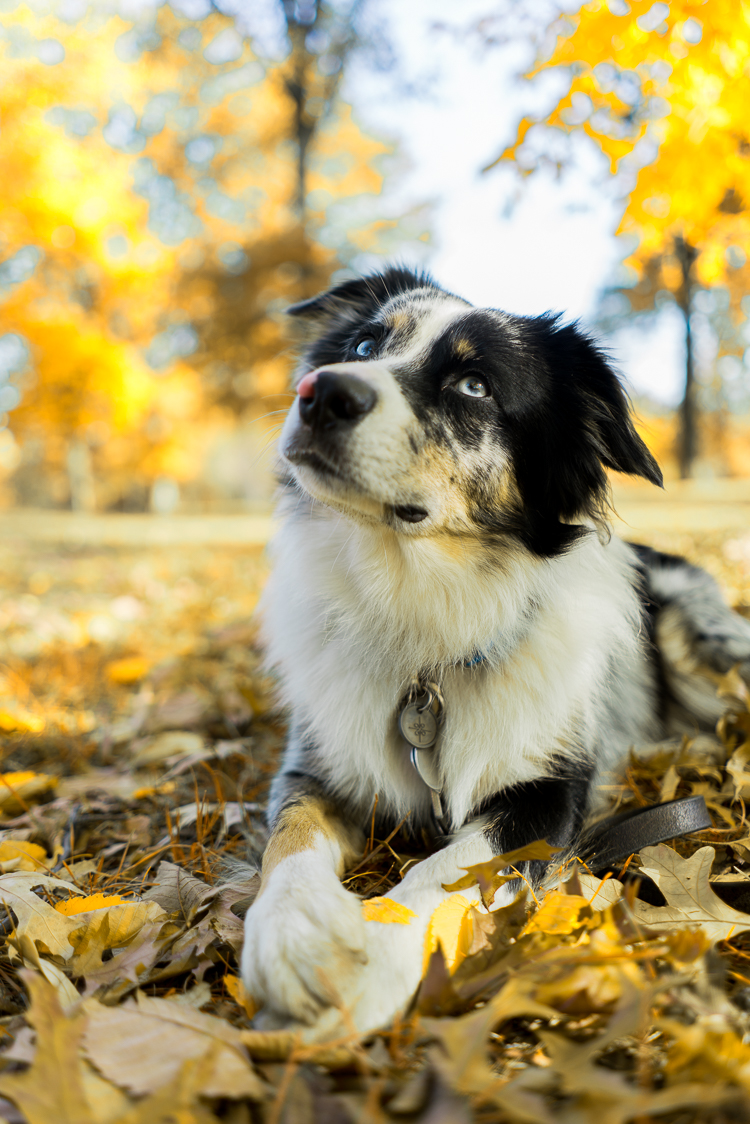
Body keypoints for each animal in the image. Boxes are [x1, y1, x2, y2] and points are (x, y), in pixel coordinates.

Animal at [240, 267, 750, 1038]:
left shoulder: (550, 793)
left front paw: (375, 954)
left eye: (474, 385)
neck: (424, 614)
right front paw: (297, 934)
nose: (321, 391)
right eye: (363, 345)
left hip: (704, 642)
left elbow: (445, 868)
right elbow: (288, 842)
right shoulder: (314, 767)